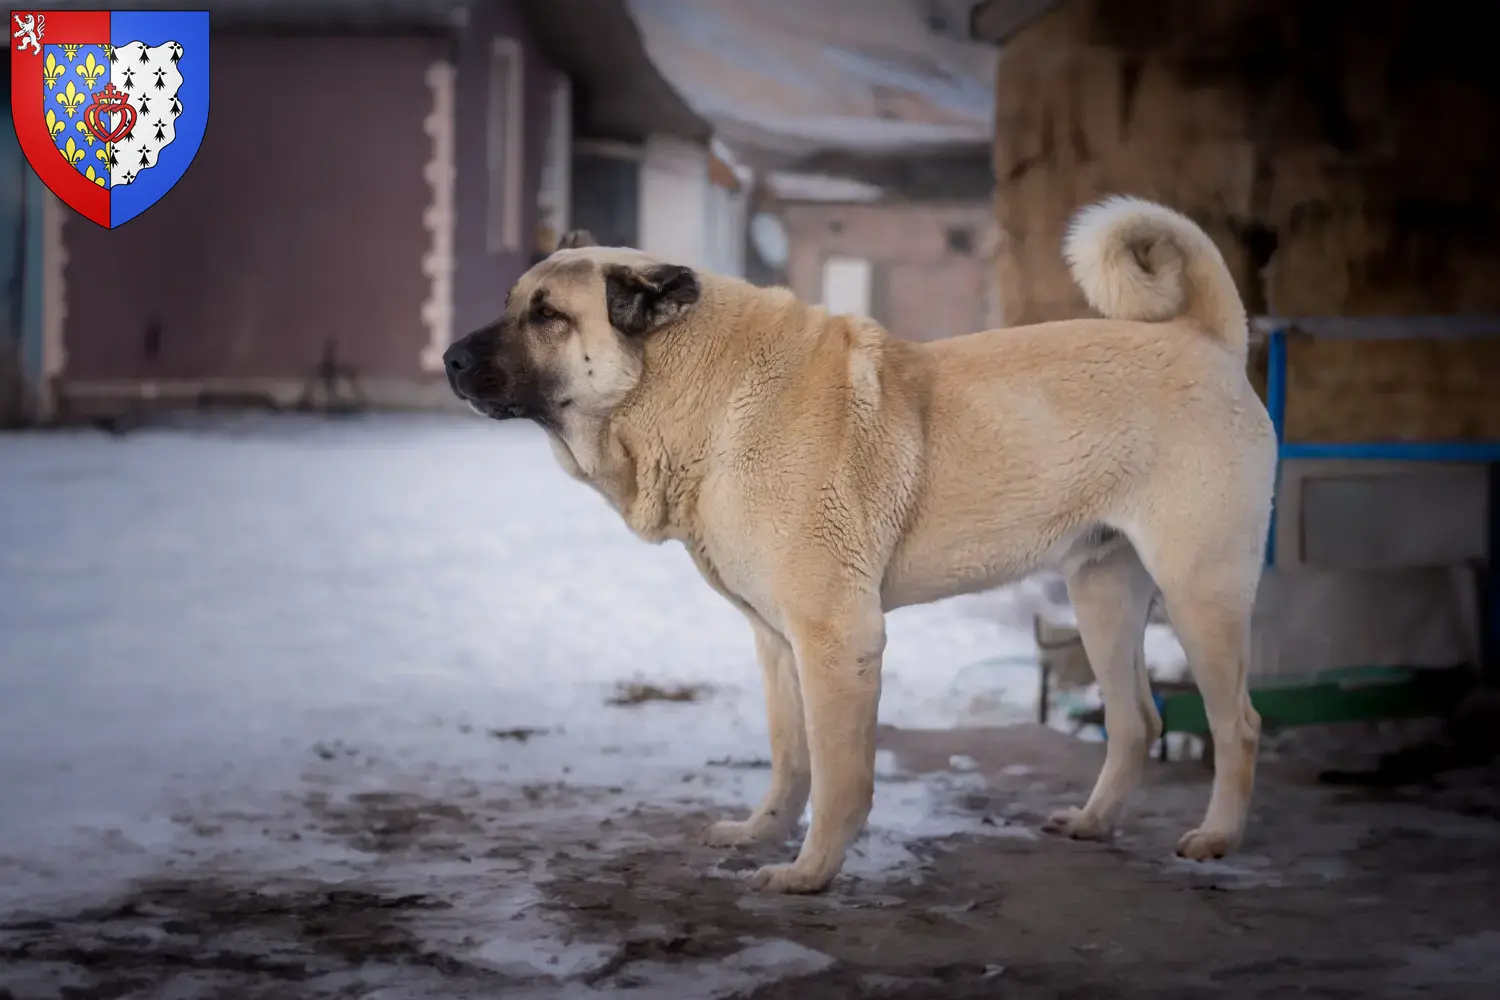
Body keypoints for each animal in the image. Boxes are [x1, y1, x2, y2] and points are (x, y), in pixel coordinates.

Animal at [444, 193, 1278, 893]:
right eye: (516, 303)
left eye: (548, 315)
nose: (450, 359)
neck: (698, 393)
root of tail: (1205, 337)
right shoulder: (777, 642)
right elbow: (790, 761)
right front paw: (758, 833)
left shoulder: (836, 639)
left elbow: (839, 776)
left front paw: (809, 874)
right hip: (1103, 595)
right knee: (1136, 722)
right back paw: (1093, 822)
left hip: (1200, 593)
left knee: (1237, 725)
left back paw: (1216, 837)